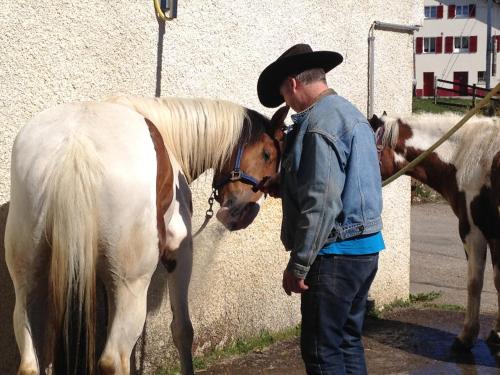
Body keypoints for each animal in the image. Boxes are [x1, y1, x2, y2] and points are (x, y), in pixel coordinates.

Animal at [5, 97, 290, 375]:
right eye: (267, 154)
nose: (242, 215)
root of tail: (75, 149)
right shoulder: (179, 252)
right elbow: (182, 329)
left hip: (28, 281)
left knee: (30, 362)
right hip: (131, 284)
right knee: (114, 359)